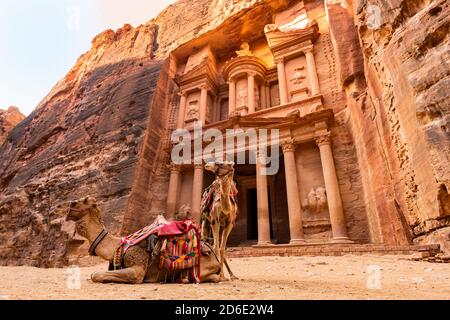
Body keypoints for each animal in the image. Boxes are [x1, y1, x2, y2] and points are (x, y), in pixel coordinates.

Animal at [59, 196, 221, 284]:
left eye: (84, 200)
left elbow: (96, 275)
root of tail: (217, 259)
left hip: (202, 267)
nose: (70, 204)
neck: (118, 245)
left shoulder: (137, 269)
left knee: (214, 277)